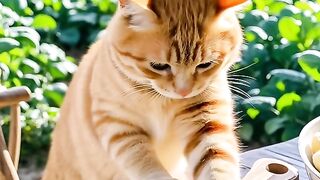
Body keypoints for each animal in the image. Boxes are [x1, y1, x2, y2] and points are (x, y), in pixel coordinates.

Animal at [42, 0, 246, 179]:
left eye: (205, 65)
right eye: (159, 66)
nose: (184, 92)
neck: (162, 100)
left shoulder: (206, 119)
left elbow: (216, 161)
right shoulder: (119, 127)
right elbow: (146, 165)